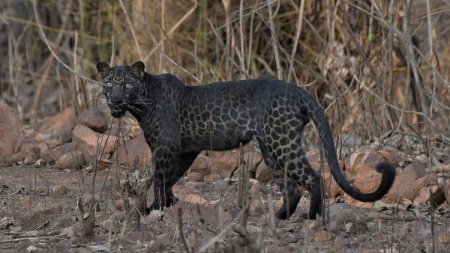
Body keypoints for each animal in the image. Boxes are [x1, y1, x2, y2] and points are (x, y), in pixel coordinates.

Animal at [96, 60, 396, 219]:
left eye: (127, 84)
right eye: (109, 84)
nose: (115, 100)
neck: (141, 104)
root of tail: (300, 91)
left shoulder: (166, 148)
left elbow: (159, 178)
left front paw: (155, 208)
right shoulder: (185, 150)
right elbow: (169, 178)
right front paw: (167, 204)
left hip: (281, 143)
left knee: (313, 178)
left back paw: (312, 217)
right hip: (271, 147)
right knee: (291, 187)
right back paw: (279, 217)